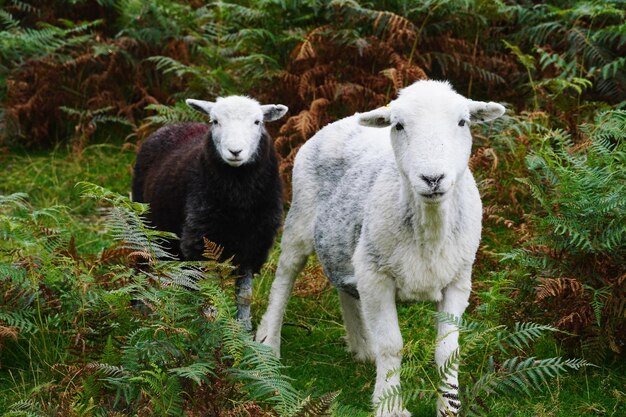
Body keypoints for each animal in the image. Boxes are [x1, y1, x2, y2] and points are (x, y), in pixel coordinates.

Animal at [133, 96, 288, 328]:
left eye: (257, 122)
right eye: (215, 121)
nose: (235, 151)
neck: (239, 200)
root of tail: (174, 125)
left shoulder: (255, 243)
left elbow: (245, 295)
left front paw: (244, 329)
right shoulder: (200, 240)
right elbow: (212, 290)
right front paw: (212, 326)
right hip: (145, 221)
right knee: (142, 259)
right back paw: (138, 307)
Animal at [254, 79, 502, 414]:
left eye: (462, 122)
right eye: (399, 125)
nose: (433, 178)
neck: (430, 228)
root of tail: (342, 120)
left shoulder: (458, 281)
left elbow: (447, 350)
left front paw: (449, 407)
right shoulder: (377, 277)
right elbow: (392, 345)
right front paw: (390, 405)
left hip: (347, 243)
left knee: (344, 287)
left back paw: (363, 347)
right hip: (299, 221)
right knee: (283, 280)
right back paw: (268, 344)